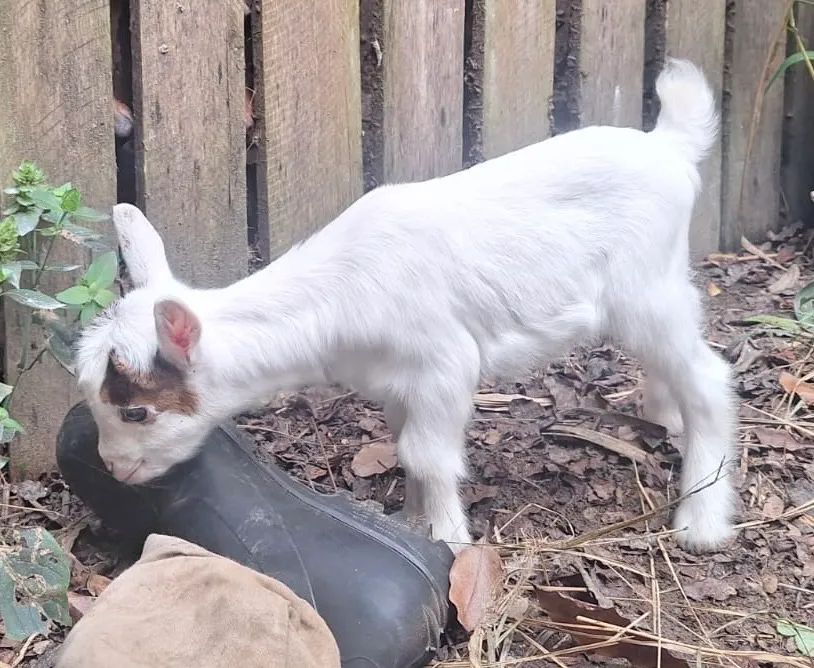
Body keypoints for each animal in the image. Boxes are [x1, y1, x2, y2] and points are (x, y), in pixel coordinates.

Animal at [77, 59, 737, 554]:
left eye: (136, 411)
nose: (112, 468)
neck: (337, 296)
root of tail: (669, 147)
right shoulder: (398, 383)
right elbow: (409, 450)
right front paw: (411, 522)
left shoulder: (444, 363)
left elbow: (428, 454)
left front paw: (448, 539)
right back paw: (663, 417)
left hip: (643, 288)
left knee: (709, 377)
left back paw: (702, 521)